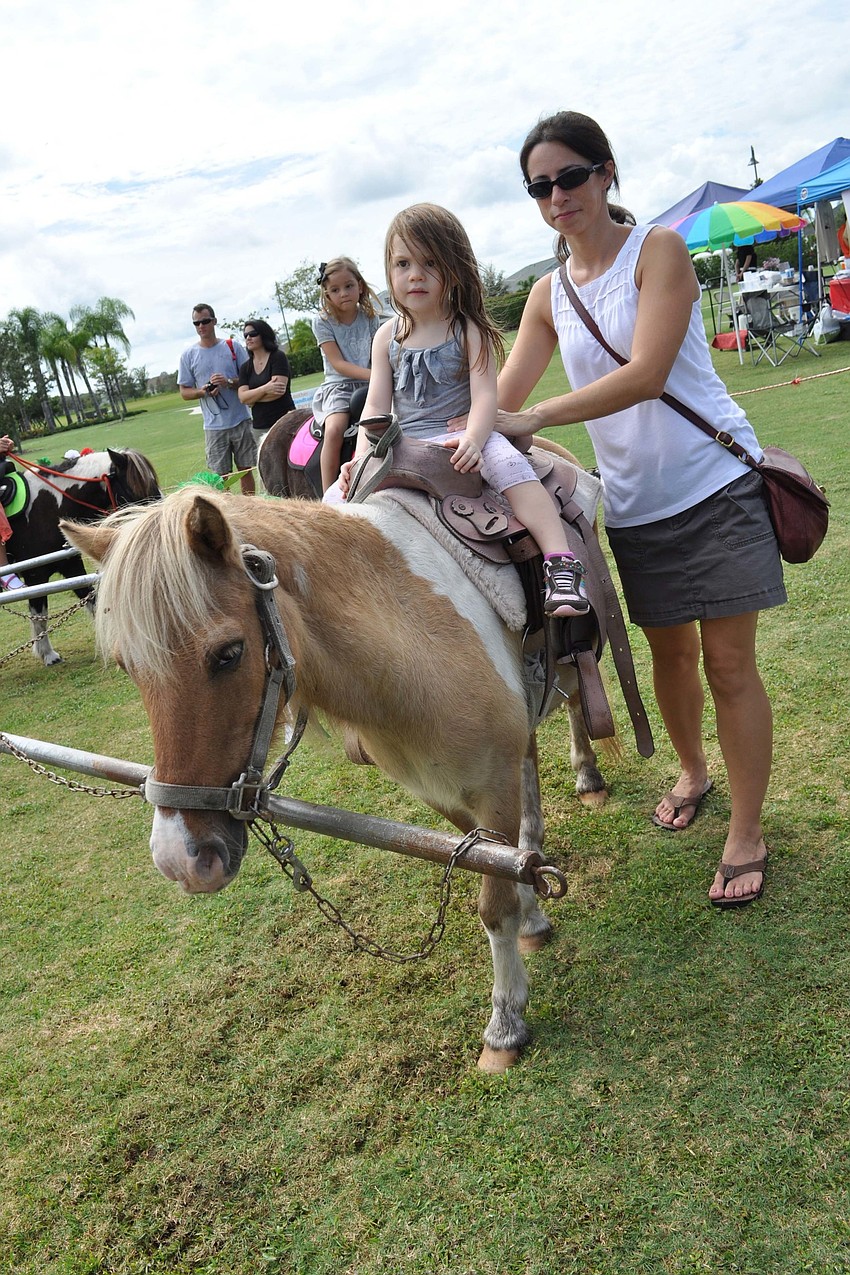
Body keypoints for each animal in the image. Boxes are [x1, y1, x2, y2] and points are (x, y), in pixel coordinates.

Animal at [4, 448, 161, 665]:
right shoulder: (36, 575)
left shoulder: (72, 567)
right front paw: (47, 654)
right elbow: (39, 615)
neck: (48, 507)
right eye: (136, 491)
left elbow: (93, 600)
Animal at [62, 486, 611, 1072]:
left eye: (229, 654)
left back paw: (589, 777)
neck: (414, 634)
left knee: (576, 702)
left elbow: (495, 906)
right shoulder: (448, 794)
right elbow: (503, 863)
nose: (181, 859)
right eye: (127, 667)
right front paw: (534, 916)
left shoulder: (492, 787)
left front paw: (506, 1023)